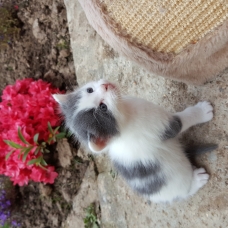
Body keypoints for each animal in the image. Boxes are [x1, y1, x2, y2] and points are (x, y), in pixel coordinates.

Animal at [53, 79, 216, 203]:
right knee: (185, 191)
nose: (105, 85)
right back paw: (197, 180)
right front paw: (202, 111)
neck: (125, 116)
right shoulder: (160, 125)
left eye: (89, 90)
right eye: (103, 107)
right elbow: (182, 120)